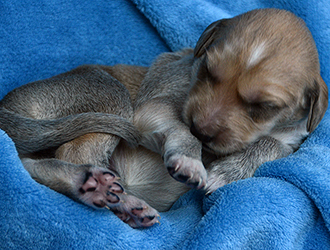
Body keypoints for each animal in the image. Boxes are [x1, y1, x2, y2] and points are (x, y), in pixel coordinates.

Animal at [0, 7, 326, 228]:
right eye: (208, 71)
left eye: (264, 106)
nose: (203, 130)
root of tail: (7, 105)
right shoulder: (154, 106)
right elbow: (182, 129)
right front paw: (192, 159)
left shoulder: (290, 140)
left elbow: (268, 146)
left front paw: (226, 171)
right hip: (110, 97)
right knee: (63, 158)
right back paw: (108, 192)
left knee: (32, 165)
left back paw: (115, 199)